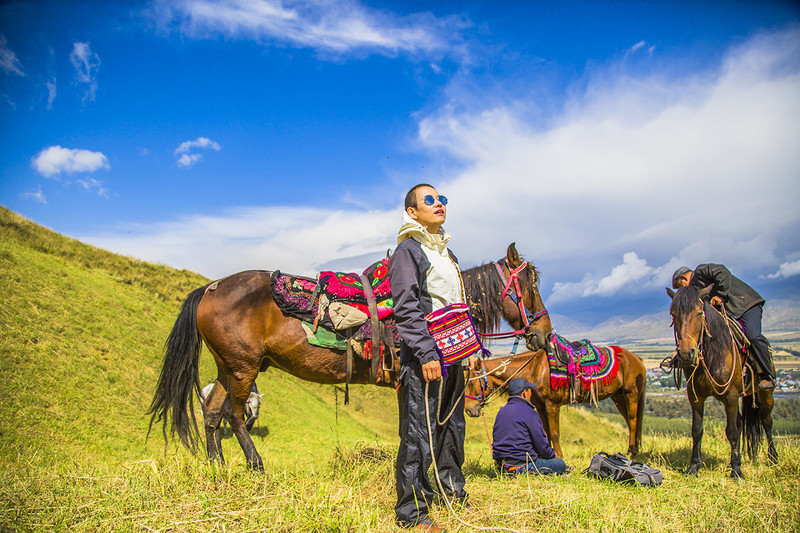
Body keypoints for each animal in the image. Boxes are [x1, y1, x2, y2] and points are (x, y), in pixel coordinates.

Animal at [148, 243, 544, 468]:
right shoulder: (411, 382)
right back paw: (255, 464)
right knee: (233, 413)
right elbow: (418, 428)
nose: (541, 334)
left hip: (228, 367)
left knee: (212, 411)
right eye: (532, 285)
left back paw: (217, 465)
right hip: (244, 369)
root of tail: (211, 287)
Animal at [462, 348, 644, 456]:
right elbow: (546, 432)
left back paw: (632, 452)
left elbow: (555, 434)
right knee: (630, 422)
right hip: (618, 397)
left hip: (631, 394)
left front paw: (560, 456)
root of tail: (637, 358)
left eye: (470, 383)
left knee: (633, 421)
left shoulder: (552, 405)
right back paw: (632, 450)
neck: (534, 370)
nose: (469, 410)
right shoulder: (541, 406)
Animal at [664, 284, 780, 476]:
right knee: (741, 422)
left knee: (767, 421)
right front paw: (694, 466)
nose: (687, 354)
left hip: (765, 392)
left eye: (699, 313)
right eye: (673, 315)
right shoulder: (695, 396)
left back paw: (774, 459)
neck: (713, 354)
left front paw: (736, 471)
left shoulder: (730, 396)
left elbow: (732, 431)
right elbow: (697, 429)